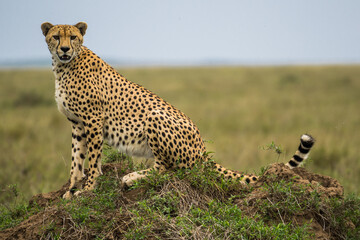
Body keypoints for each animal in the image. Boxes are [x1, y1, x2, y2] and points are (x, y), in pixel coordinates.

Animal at [40, 22, 316, 199]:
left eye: (73, 37)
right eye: (56, 37)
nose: (64, 49)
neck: (64, 66)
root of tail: (202, 147)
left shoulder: (93, 120)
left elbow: (93, 158)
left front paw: (87, 188)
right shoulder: (77, 123)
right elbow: (77, 158)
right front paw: (71, 188)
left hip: (155, 116)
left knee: (168, 169)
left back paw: (132, 177)